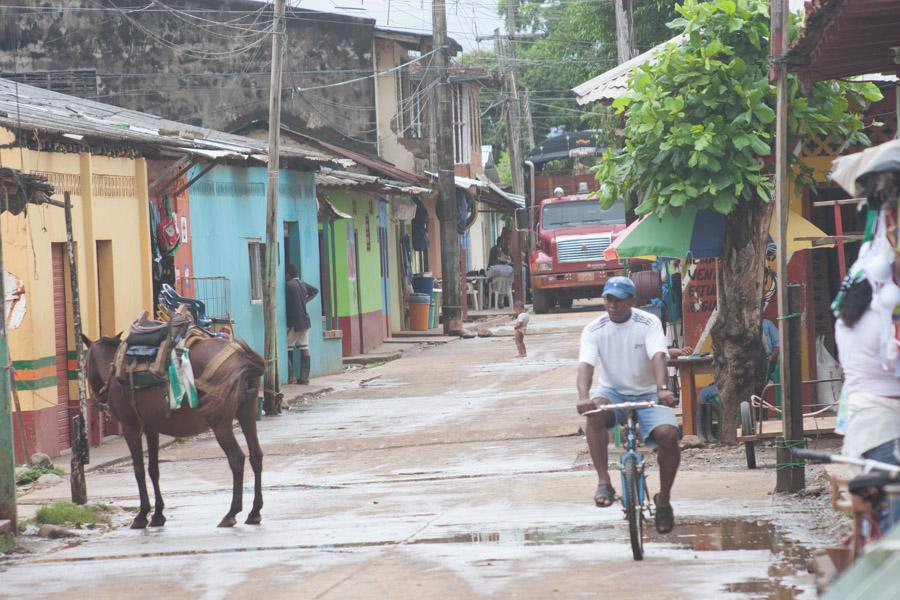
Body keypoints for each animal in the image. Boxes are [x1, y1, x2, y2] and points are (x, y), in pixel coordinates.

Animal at [83, 330, 268, 528]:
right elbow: (153, 469)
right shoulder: (151, 429)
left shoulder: (130, 427)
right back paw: (254, 512)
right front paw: (158, 515)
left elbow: (139, 470)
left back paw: (231, 513)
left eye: (85, 365)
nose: (98, 400)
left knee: (237, 459)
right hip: (247, 414)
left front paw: (142, 515)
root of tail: (241, 357)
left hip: (221, 423)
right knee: (256, 456)